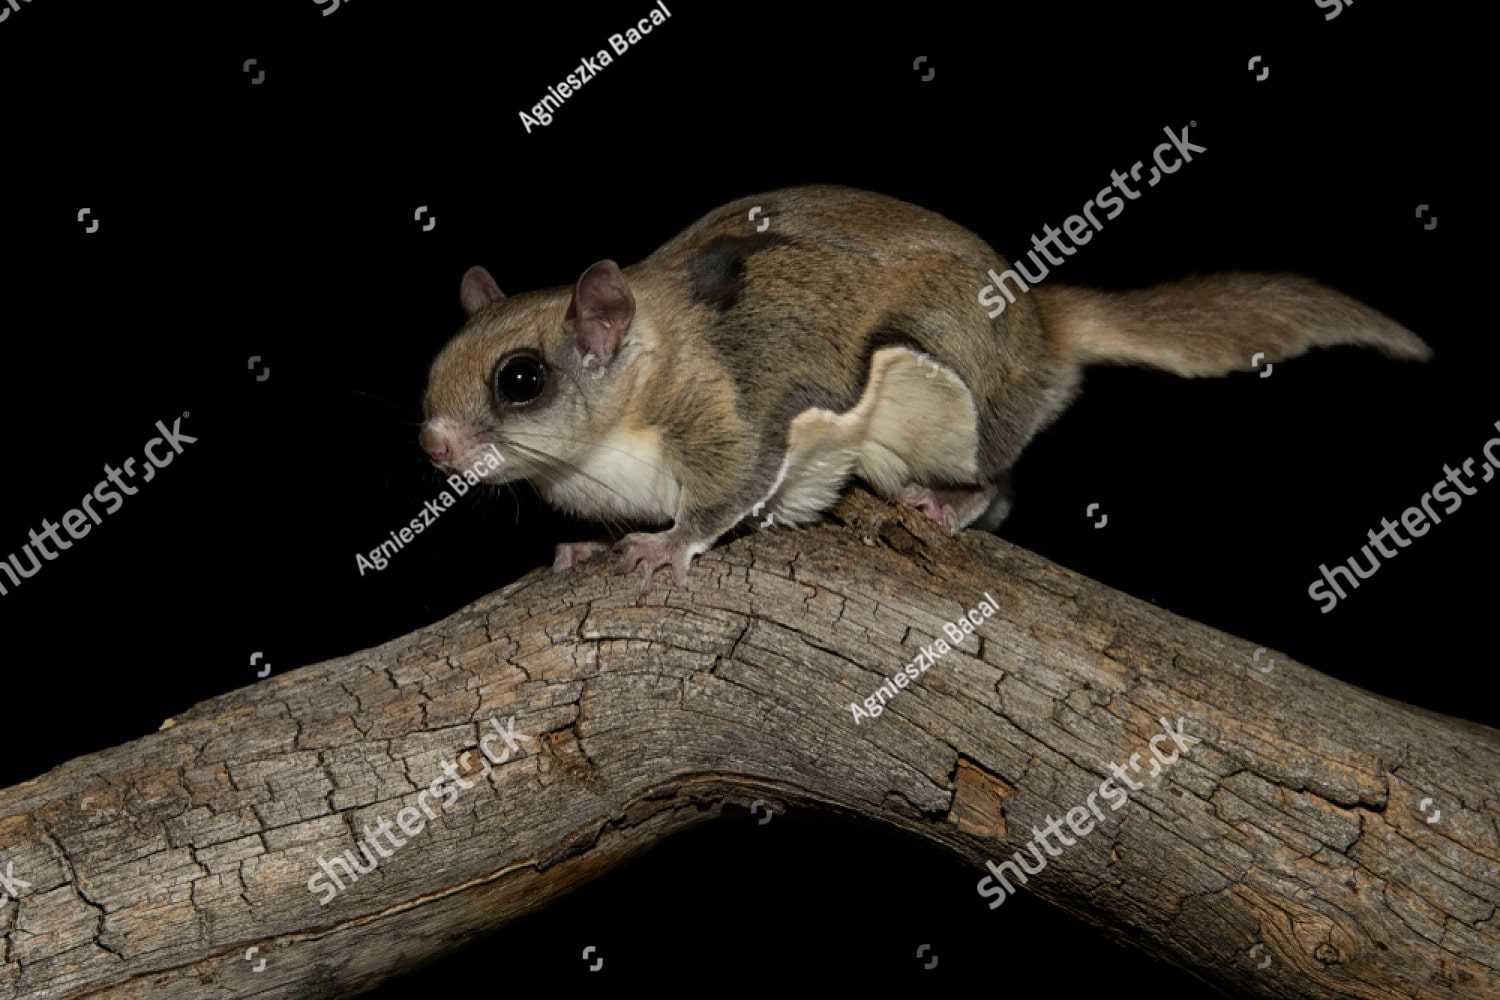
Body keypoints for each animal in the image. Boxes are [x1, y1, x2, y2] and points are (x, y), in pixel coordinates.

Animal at [420, 185, 1430, 588]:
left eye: (521, 380)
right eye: (433, 374)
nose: (432, 445)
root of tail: (1041, 326)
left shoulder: (737, 412)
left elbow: (730, 490)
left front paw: (665, 547)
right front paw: (589, 546)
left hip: (949, 389)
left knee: (1003, 485)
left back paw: (947, 504)